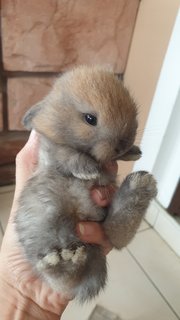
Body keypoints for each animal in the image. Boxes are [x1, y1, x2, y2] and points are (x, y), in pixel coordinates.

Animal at [15, 65, 157, 302]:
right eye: (90, 119)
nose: (122, 145)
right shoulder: (53, 148)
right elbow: (68, 153)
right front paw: (88, 171)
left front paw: (133, 153)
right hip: (45, 234)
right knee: (61, 281)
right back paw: (62, 263)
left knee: (117, 235)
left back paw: (140, 185)